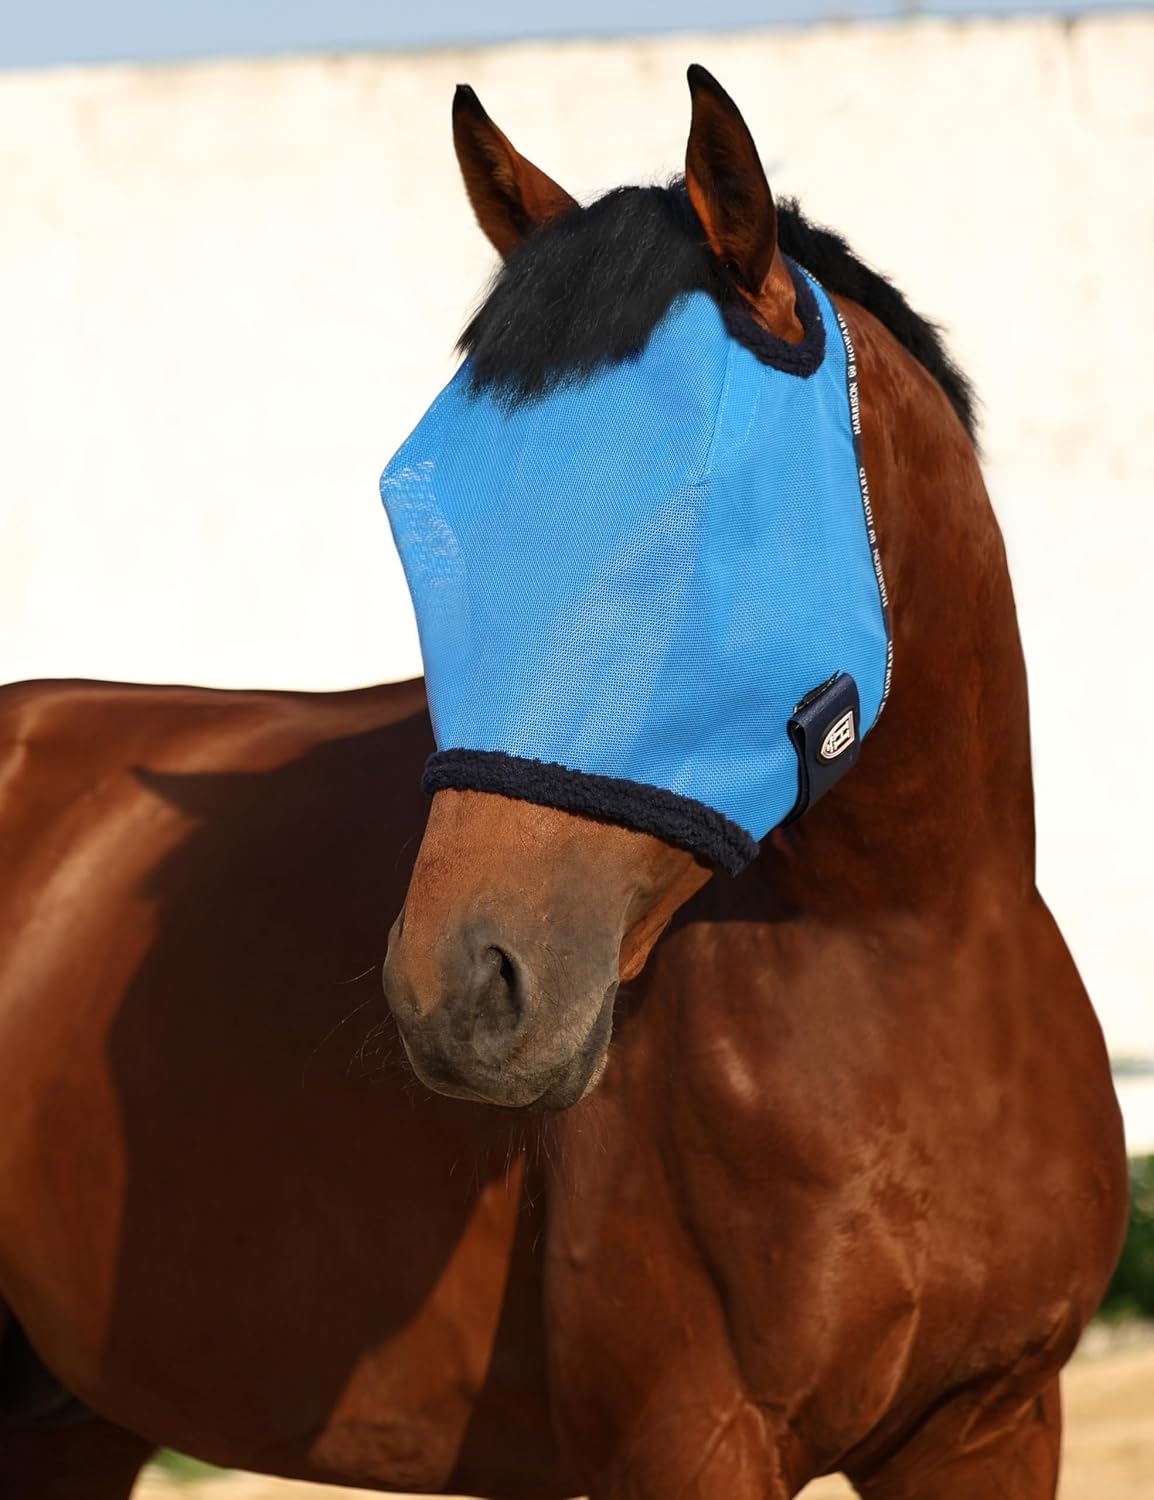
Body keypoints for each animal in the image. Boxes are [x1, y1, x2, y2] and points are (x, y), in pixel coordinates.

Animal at [0, 66, 1127, 1500]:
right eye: (416, 510)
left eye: (693, 505)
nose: (457, 993)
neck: (909, 962)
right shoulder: (685, 1441)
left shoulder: (989, 1423)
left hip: (70, 1421)